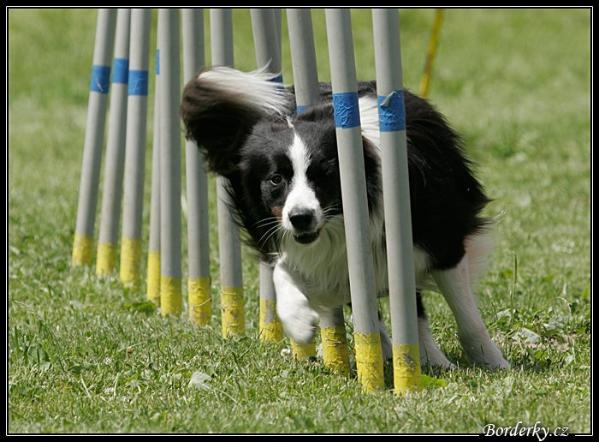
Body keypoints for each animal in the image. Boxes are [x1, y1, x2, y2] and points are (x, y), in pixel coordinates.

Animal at [180, 65, 508, 370]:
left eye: (323, 174)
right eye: (275, 179)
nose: (300, 217)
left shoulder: (441, 238)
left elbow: (465, 312)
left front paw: (491, 360)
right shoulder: (290, 240)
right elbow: (283, 270)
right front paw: (299, 321)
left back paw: (426, 357)